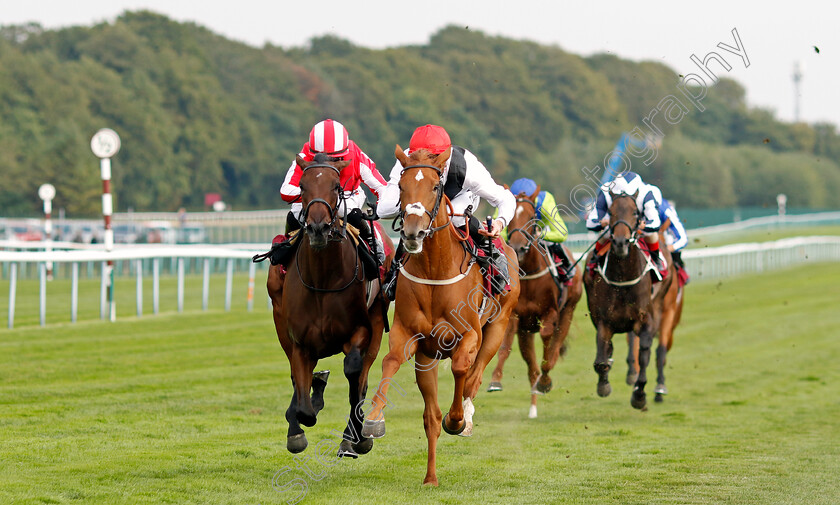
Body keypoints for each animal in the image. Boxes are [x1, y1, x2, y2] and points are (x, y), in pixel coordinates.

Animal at [270, 154, 394, 456]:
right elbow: (303, 403)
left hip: (377, 320)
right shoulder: (299, 341)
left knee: (362, 376)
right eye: (302, 186)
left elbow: (353, 371)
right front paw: (297, 427)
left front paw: (356, 437)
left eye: (336, 186)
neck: (322, 280)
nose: (318, 228)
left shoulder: (360, 330)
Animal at [360, 145, 520, 484]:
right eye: (402, 187)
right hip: (427, 357)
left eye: (436, 187)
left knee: (475, 376)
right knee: (430, 416)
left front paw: (457, 419)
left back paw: (465, 417)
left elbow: (461, 368)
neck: (435, 268)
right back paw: (430, 477)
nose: (413, 232)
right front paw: (374, 419)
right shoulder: (409, 335)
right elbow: (390, 361)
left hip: (497, 327)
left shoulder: (469, 334)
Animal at [486, 185, 584, 418]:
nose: (518, 247)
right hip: (526, 330)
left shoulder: (550, 313)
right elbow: (505, 345)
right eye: (512, 217)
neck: (529, 274)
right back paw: (533, 407)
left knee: (554, 349)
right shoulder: (515, 315)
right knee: (531, 368)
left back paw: (543, 381)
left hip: (568, 310)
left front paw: (545, 381)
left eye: (532, 217)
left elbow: (548, 341)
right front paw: (495, 380)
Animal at [584, 191, 676, 408]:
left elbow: (644, 354)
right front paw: (604, 385)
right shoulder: (603, 321)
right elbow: (600, 360)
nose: (620, 242)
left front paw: (639, 394)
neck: (623, 278)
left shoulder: (646, 320)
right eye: (610, 212)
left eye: (635, 212)